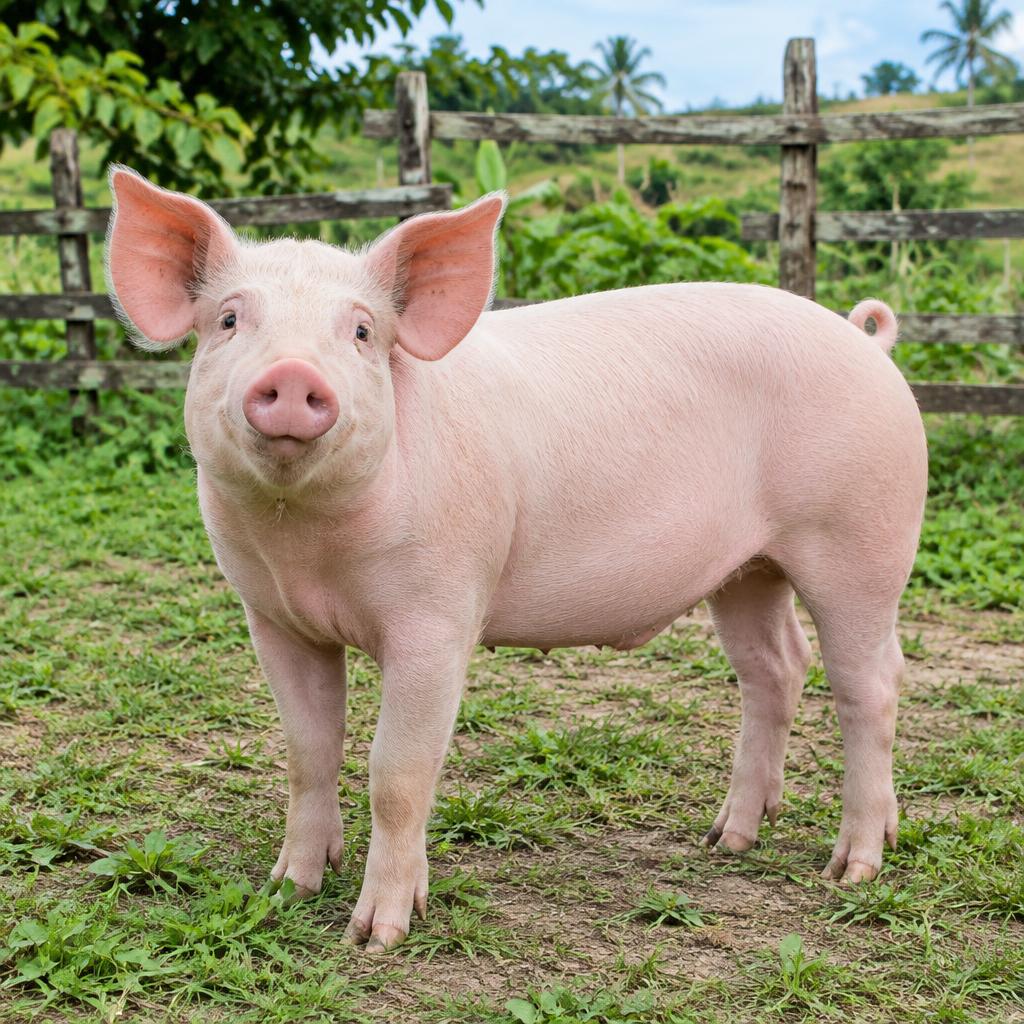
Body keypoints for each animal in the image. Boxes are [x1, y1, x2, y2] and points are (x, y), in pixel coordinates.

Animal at [106, 167, 927, 952]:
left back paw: (852, 868)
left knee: (871, 683)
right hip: (747, 570)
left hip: (861, 539)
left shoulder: (439, 614)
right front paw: (290, 890)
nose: (293, 375)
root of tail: (866, 341)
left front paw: (376, 937)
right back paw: (727, 839)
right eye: (229, 320)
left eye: (363, 331)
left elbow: (397, 773)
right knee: (776, 667)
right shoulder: (272, 616)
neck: (309, 547)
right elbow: (309, 751)